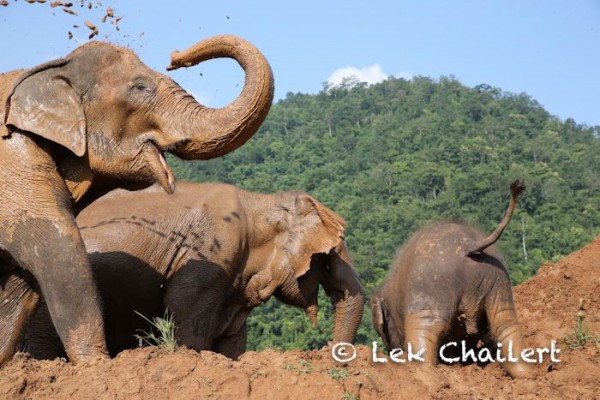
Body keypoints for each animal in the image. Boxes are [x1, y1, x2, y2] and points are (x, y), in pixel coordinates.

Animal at [0, 35, 274, 366]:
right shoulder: (15, 160)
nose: (175, 58)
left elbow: (20, 278)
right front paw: (95, 365)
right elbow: (57, 247)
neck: (49, 69)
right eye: (140, 88)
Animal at [18, 181, 364, 360]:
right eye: (327, 260)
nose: (327, 350)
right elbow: (188, 320)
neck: (261, 203)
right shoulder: (208, 261)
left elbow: (233, 338)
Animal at [372, 181, 532, 378]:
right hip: (498, 282)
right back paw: (527, 375)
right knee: (506, 325)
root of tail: (469, 245)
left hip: (430, 287)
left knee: (424, 332)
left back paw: (422, 375)